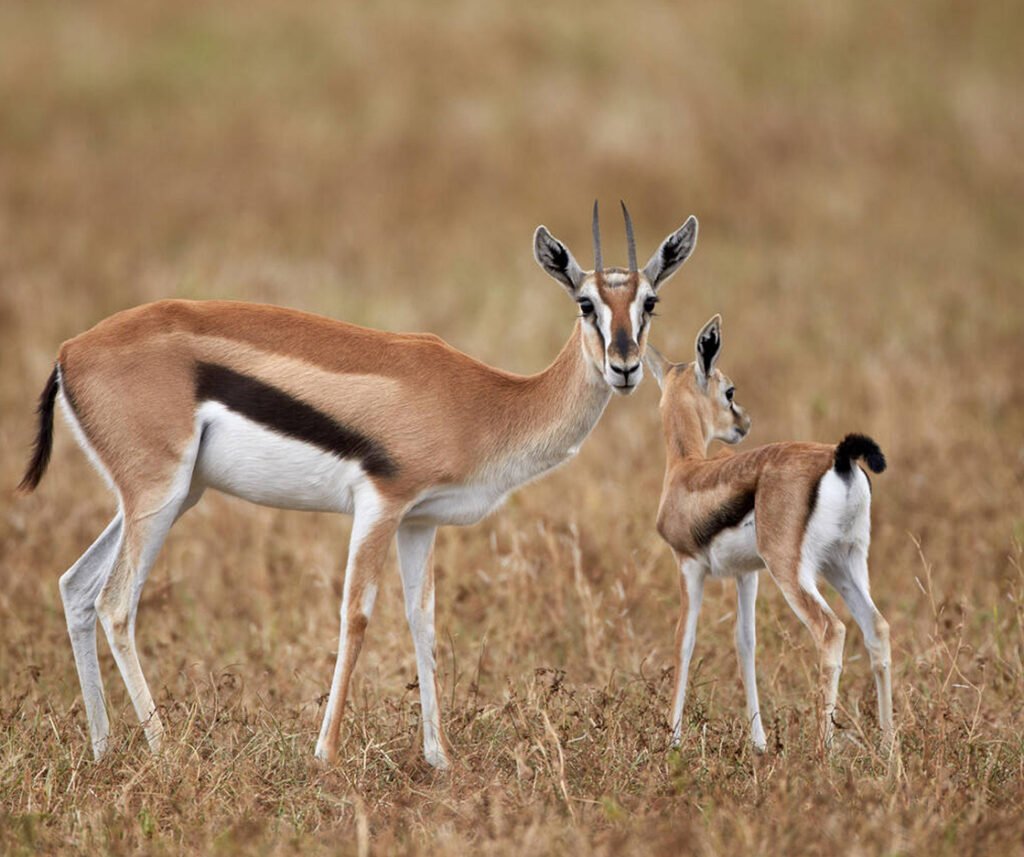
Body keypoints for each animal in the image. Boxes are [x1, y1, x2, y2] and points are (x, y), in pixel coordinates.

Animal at [18, 203, 698, 769]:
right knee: (115, 603)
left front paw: (439, 759)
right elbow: (358, 615)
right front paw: (325, 755)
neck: (482, 403)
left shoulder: (420, 522)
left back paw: (103, 749)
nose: (624, 366)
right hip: (158, 496)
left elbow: (423, 620)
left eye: (650, 302)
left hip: (169, 496)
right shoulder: (381, 504)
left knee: (76, 587)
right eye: (585, 302)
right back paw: (165, 753)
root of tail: (69, 351)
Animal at [645, 315, 893, 753]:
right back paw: (889, 749)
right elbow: (746, 643)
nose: (743, 424)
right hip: (843, 563)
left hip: (792, 570)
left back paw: (823, 751)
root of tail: (840, 457)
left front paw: (671, 741)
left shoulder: (689, 566)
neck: (686, 470)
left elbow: (683, 641)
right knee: (876, 628)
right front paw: (759, 743)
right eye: (729, 391)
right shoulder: (748, 574)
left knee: (831, 630)